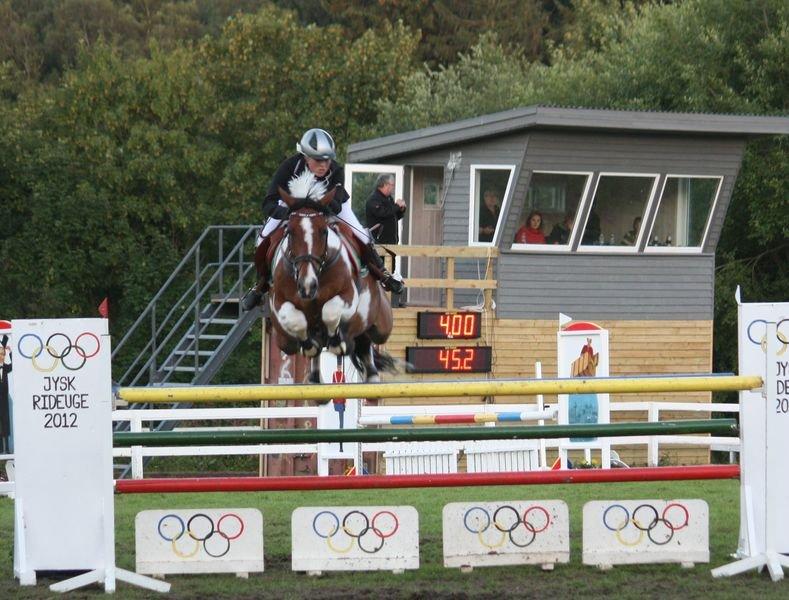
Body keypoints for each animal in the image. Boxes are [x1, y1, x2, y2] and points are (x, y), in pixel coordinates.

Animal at [266, 173, 394, 382]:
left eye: (324, 231)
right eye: (290, 232)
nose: (307, 286)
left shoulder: (349, 295)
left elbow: (330, 311)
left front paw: (336, 341)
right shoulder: (279, 302)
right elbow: (295, 320)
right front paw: (310, 345)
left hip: (382, 325)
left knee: (367, 343)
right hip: (284, 341)